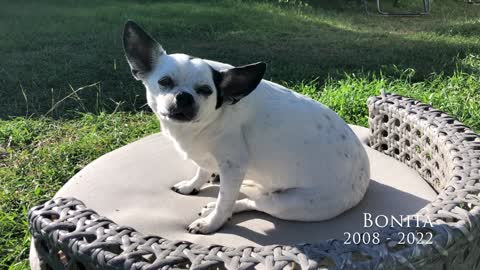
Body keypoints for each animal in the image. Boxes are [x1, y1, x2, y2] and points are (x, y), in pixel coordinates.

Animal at [122, 20, 370, 234]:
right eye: (164, 82)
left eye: (206, 90)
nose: (184, 96)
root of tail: (363, 179)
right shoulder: (207, 159)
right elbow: (201, 170)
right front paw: (193, 184)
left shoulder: (233, 167)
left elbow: (224, 200)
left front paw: (212, 223)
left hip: (289, 204)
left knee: (251, 203)